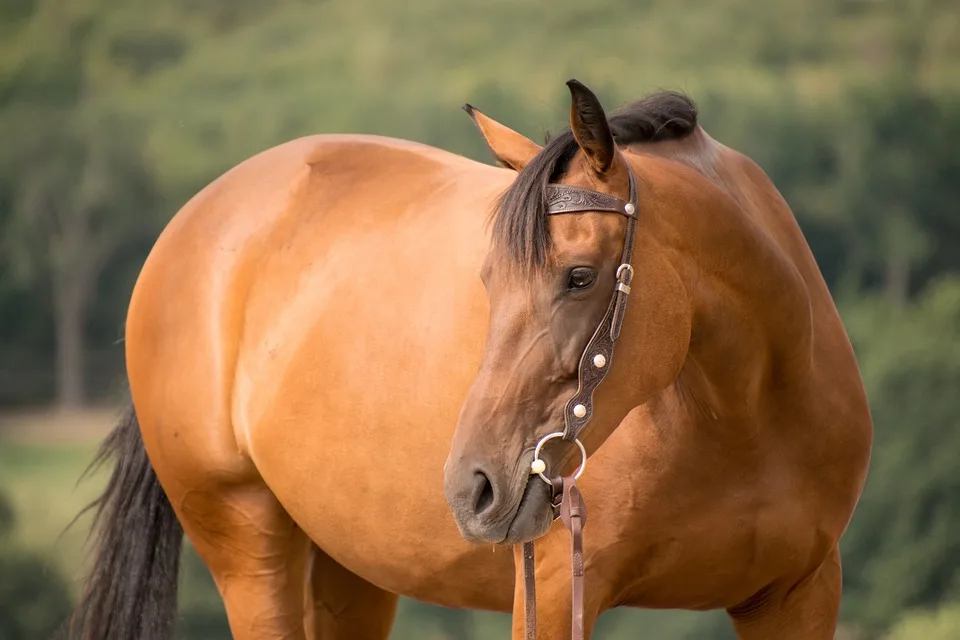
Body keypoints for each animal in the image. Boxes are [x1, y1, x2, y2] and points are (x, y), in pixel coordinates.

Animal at [71, 81, 872, 640]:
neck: (742, 417)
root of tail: (193, 221)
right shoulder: (557, 590)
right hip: (245, 538)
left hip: (353, 567)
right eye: (488, 279)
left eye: (579, 277)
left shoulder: (798, 595)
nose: (473, 487)